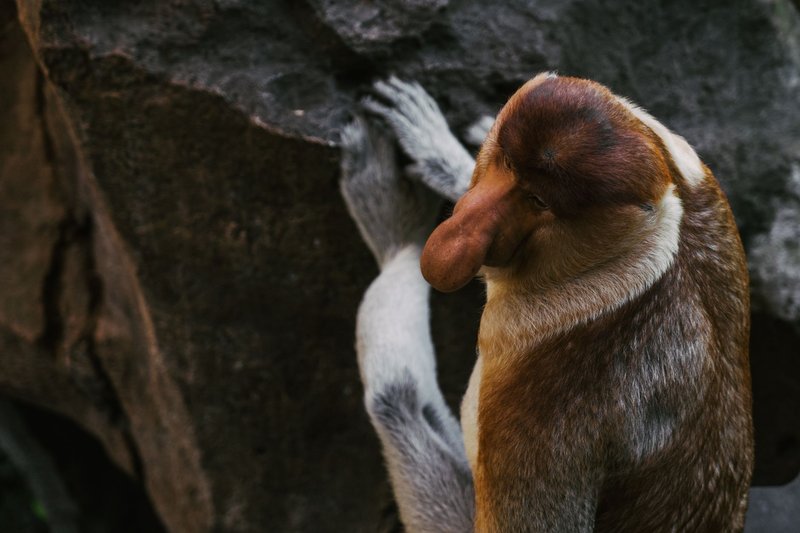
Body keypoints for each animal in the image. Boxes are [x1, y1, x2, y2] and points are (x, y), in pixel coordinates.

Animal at [341, 73, 754, 531]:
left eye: (539, 201)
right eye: (505, 164)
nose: (455, 242)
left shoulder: (555, 403)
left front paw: (397, 230)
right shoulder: (694, 172)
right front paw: (439, 149)